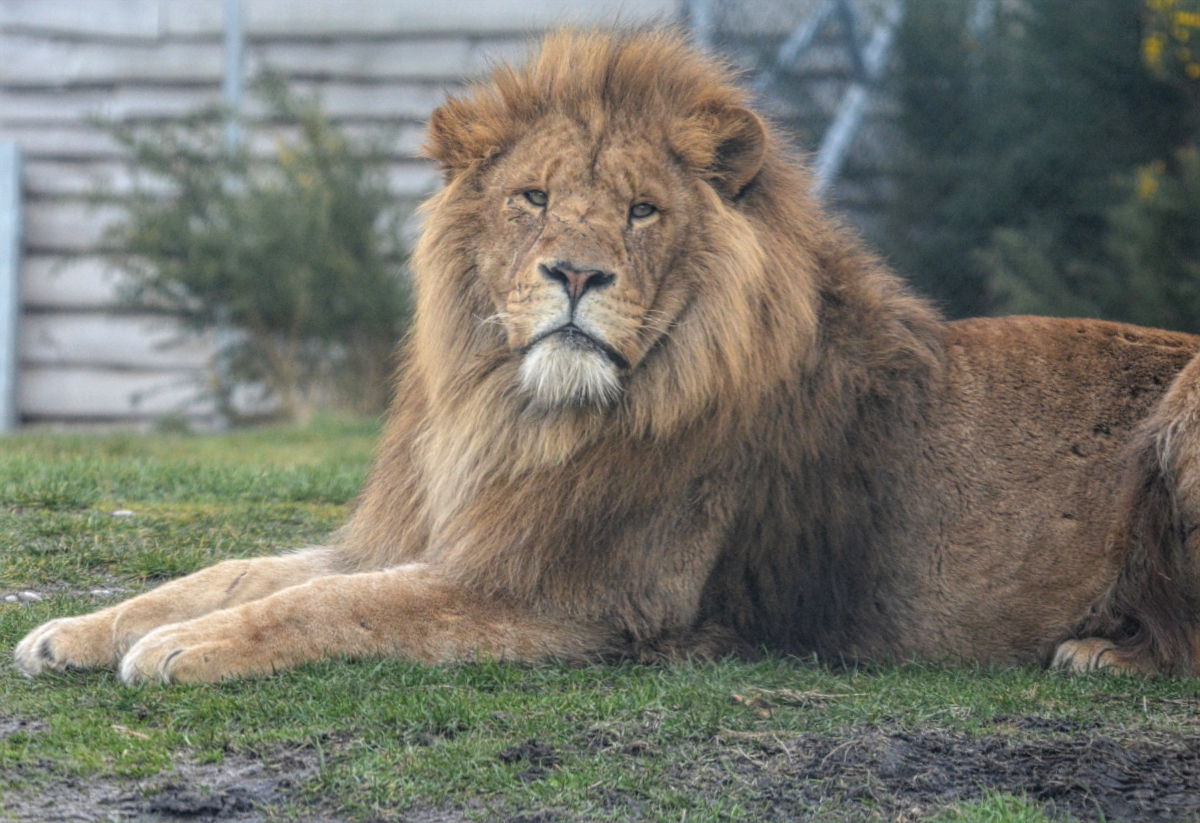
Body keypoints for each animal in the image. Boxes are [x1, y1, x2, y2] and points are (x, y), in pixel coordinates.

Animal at [15, 29, 1200, 684]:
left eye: (639, 211)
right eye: (534, 197)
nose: (576, 275)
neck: (517, 415)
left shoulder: (573, 596)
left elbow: (331, 605)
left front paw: (183, 648)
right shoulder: (430, 531)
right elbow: (235, 571)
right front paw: (75, 631)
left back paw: (1098, 651)